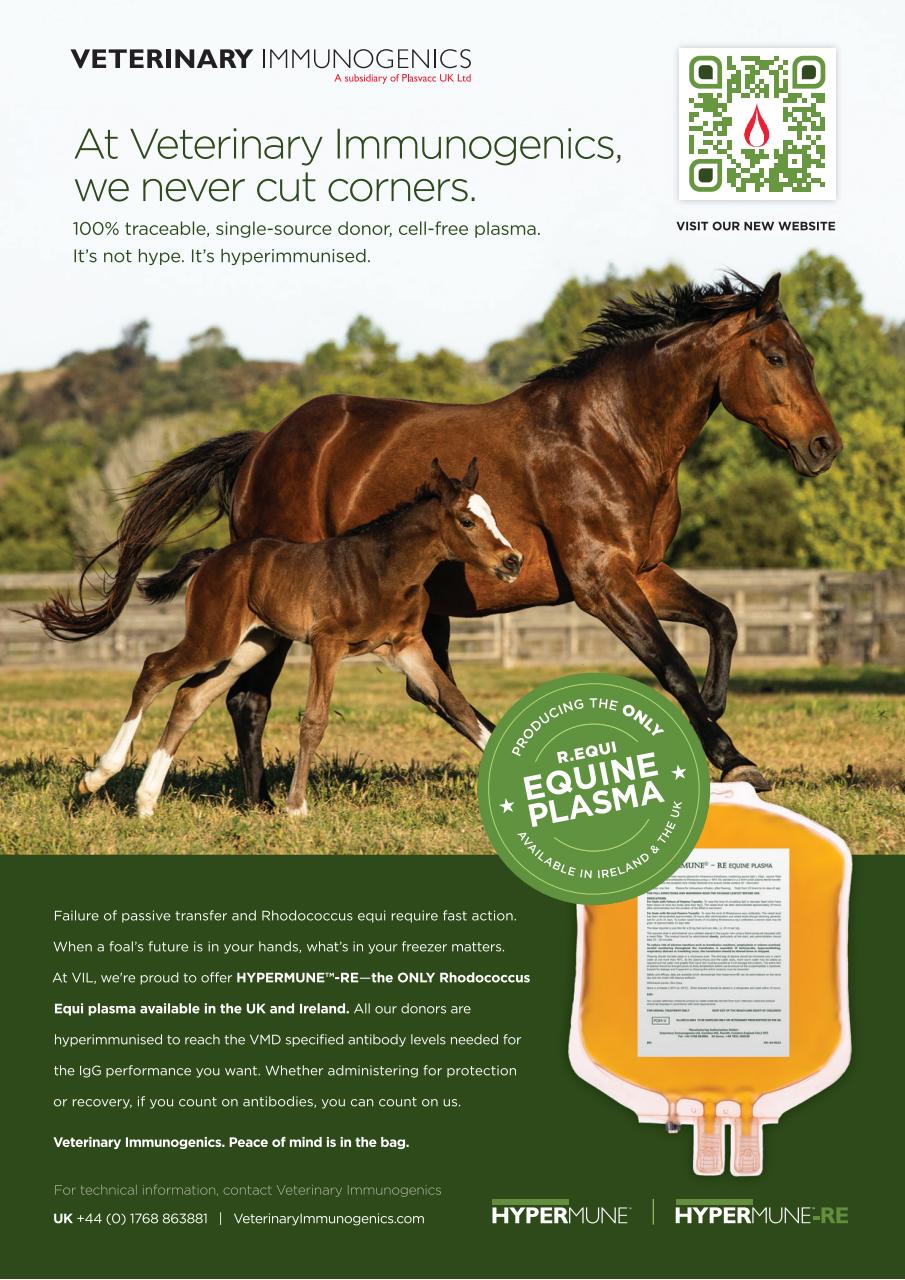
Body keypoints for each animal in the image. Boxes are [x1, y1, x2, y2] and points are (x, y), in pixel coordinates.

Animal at [76, 460, 522, 817]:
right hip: (213, 639)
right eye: (467, 521)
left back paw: (146, 800)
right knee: (153, 669)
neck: (384, 571)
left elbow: (456, 704)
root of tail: (213, 558)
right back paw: (98, 776)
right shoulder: (328, 643)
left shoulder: (407, 646)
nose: (513, 560)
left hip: (250, 647)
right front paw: (296, 806)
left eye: (492, 515)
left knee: (190, 697)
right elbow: (314, 720)